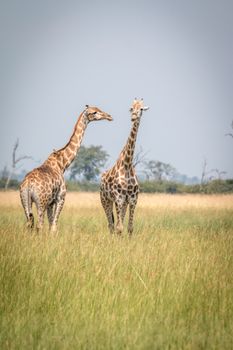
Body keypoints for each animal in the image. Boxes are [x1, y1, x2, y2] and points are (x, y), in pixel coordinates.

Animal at [99, 98, 148, 235]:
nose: (133, 117)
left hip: (121, 203)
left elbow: (130, 228)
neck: (127, 164)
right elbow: (119, 228)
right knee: (111, 225)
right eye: (131, 108)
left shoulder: (132, 199)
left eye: (141, 109)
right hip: (105, 200)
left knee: (115, 224)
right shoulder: (119, 198)